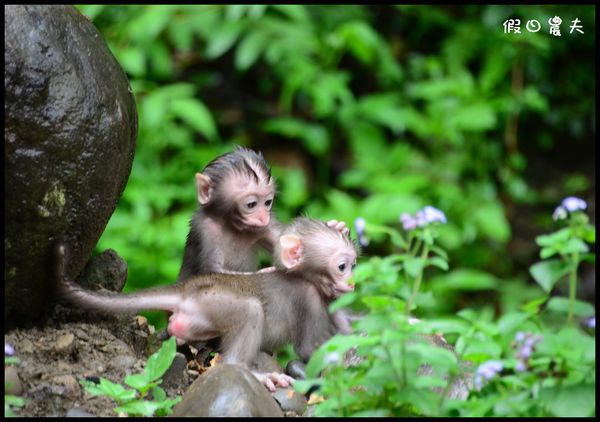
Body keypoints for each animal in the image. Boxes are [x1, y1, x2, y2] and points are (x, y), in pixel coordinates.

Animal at [56, 219, 358, 390]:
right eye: (342, 266)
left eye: (354, 265)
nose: (352, 282)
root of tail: (189, 287)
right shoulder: (309, 298)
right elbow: (311, 348)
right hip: (214, 301)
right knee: (250, 311)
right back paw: (252, 373)